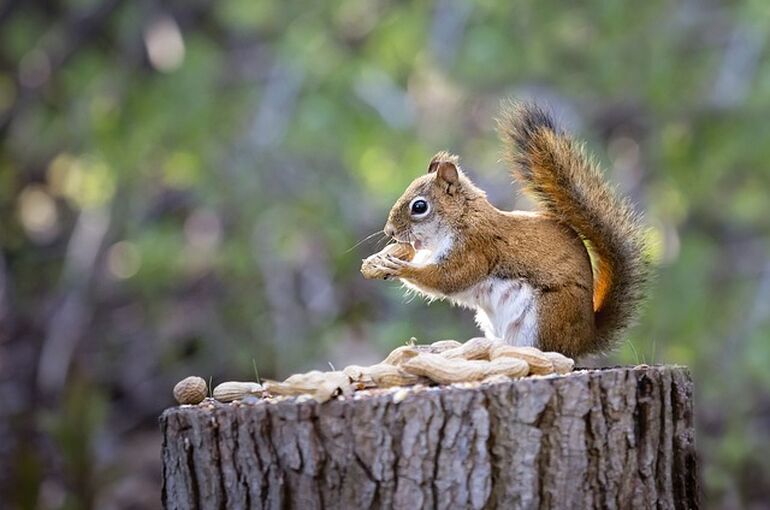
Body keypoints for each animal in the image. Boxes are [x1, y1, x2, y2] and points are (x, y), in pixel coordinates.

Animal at [364, 102, 650, 357]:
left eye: (420, 206)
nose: (389, 231)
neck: (462, 218)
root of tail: (585, 338)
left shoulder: (476, 247)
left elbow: (448, 278)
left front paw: (399, 268)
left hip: (546, 315)